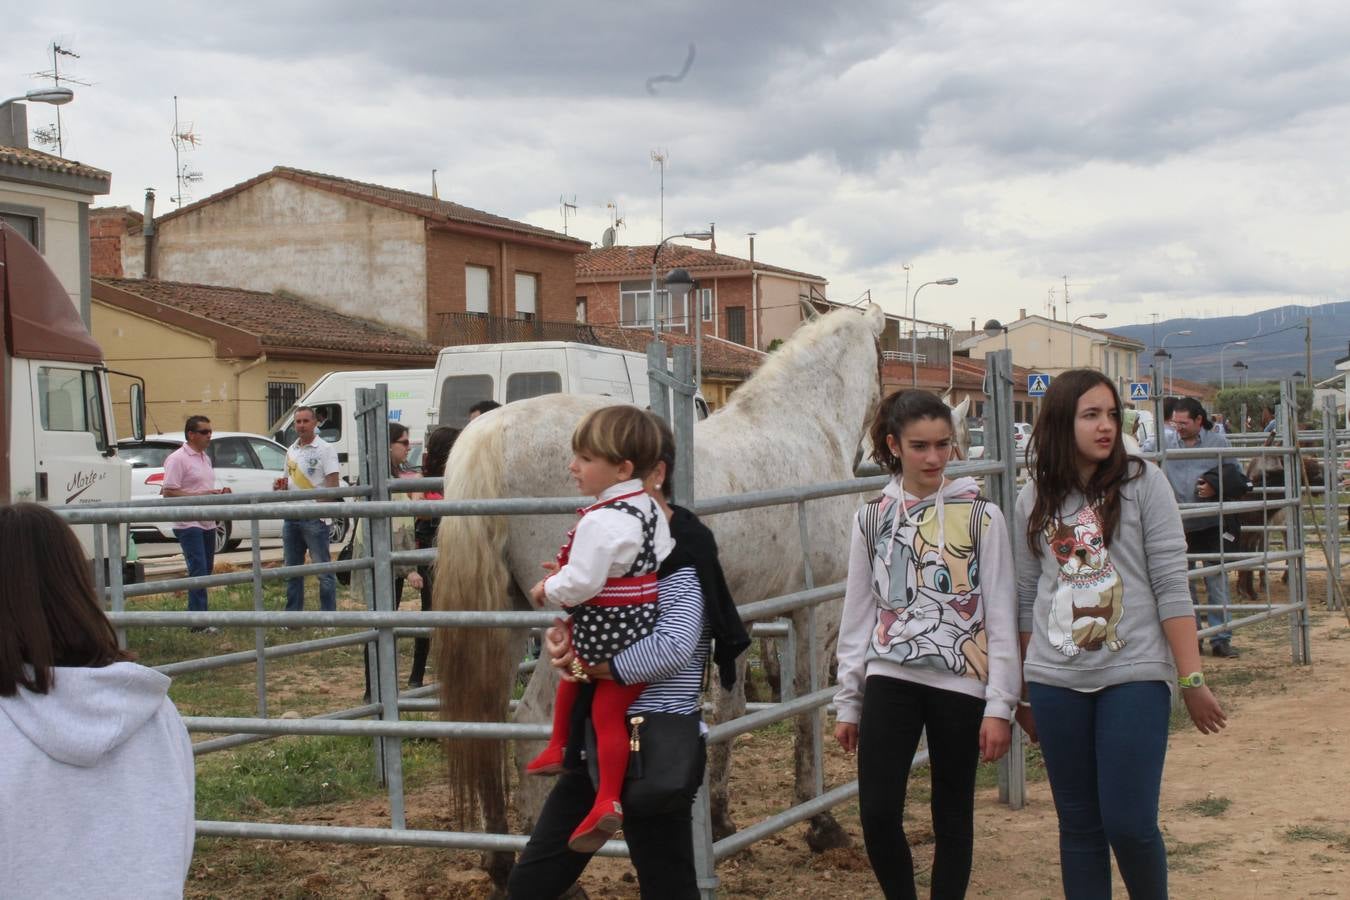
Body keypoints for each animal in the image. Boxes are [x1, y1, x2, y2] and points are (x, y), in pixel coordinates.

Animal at [437, 302, 891, 885]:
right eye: (883, 361)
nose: (870, 449)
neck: (801, 426)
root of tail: (492, 431)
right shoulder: (818, 613)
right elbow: (807, 709)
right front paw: (821, 824)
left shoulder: (739, 617)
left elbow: (730, 712)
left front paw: (719, 822)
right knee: (533, 725)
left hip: (503, 620)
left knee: (487, 727)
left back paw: (498, 860)